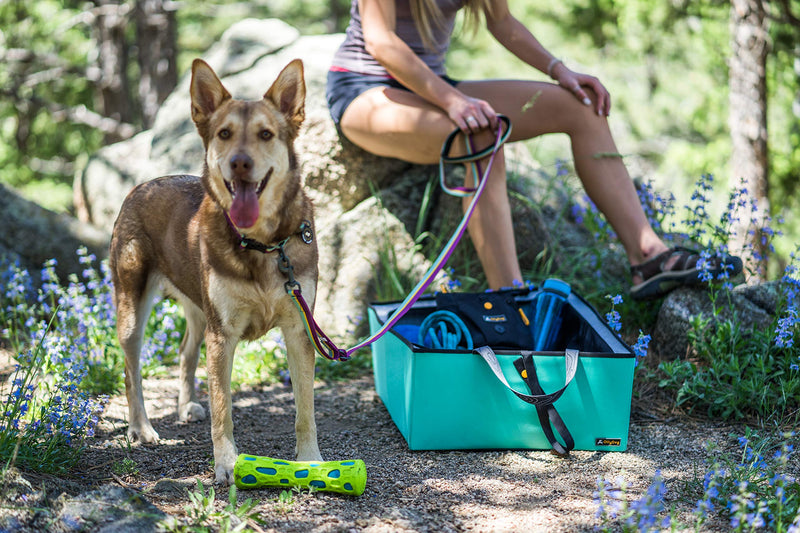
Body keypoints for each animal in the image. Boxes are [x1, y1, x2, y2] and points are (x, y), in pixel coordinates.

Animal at [109, 58, 322, 482]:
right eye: (224, 134)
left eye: (266, 134)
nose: (240, 162)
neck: (261, 244)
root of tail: (141, 185)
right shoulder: (222, 335)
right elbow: (223, 409)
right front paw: (226, 464)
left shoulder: (297, 330)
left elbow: (305, 408)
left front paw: (310, 460)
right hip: (134, 309)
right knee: (130, 370)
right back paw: (141, 427)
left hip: (197, 308)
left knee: (184, 352)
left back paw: (184, 406)